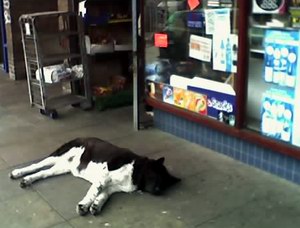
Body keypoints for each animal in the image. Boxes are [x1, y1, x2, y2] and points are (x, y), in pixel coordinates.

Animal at [8, 137, 180, 216]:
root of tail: (80, 137)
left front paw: (96, 206)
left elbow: (102, 196)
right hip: (58, 155)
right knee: (36, 165)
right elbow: (94, 192)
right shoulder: (104, 178)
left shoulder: (111, 188)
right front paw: (84, 205)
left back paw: (27, 180)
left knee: (43, 173)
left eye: (164, 184)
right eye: (156, 175)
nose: (158, 191)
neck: (136, 171)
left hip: (61, 168)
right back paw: (18, 173)